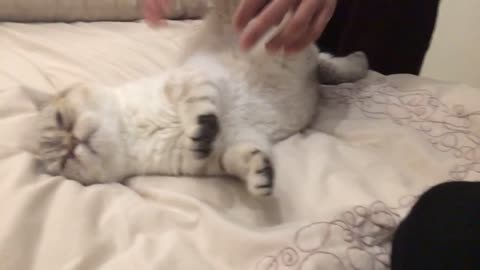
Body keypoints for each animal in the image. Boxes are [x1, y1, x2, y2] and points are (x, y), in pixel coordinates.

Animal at [28, 0, 370, 196]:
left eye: (62, 119)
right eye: (63, 161)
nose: (72, 143)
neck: (133, 134)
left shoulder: (193, 78)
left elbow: (199, 108)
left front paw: (202, 128)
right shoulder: (222, 153)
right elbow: (241, 158)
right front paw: (261, 177)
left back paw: (359, 59)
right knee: (327, 68)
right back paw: (359, 62)